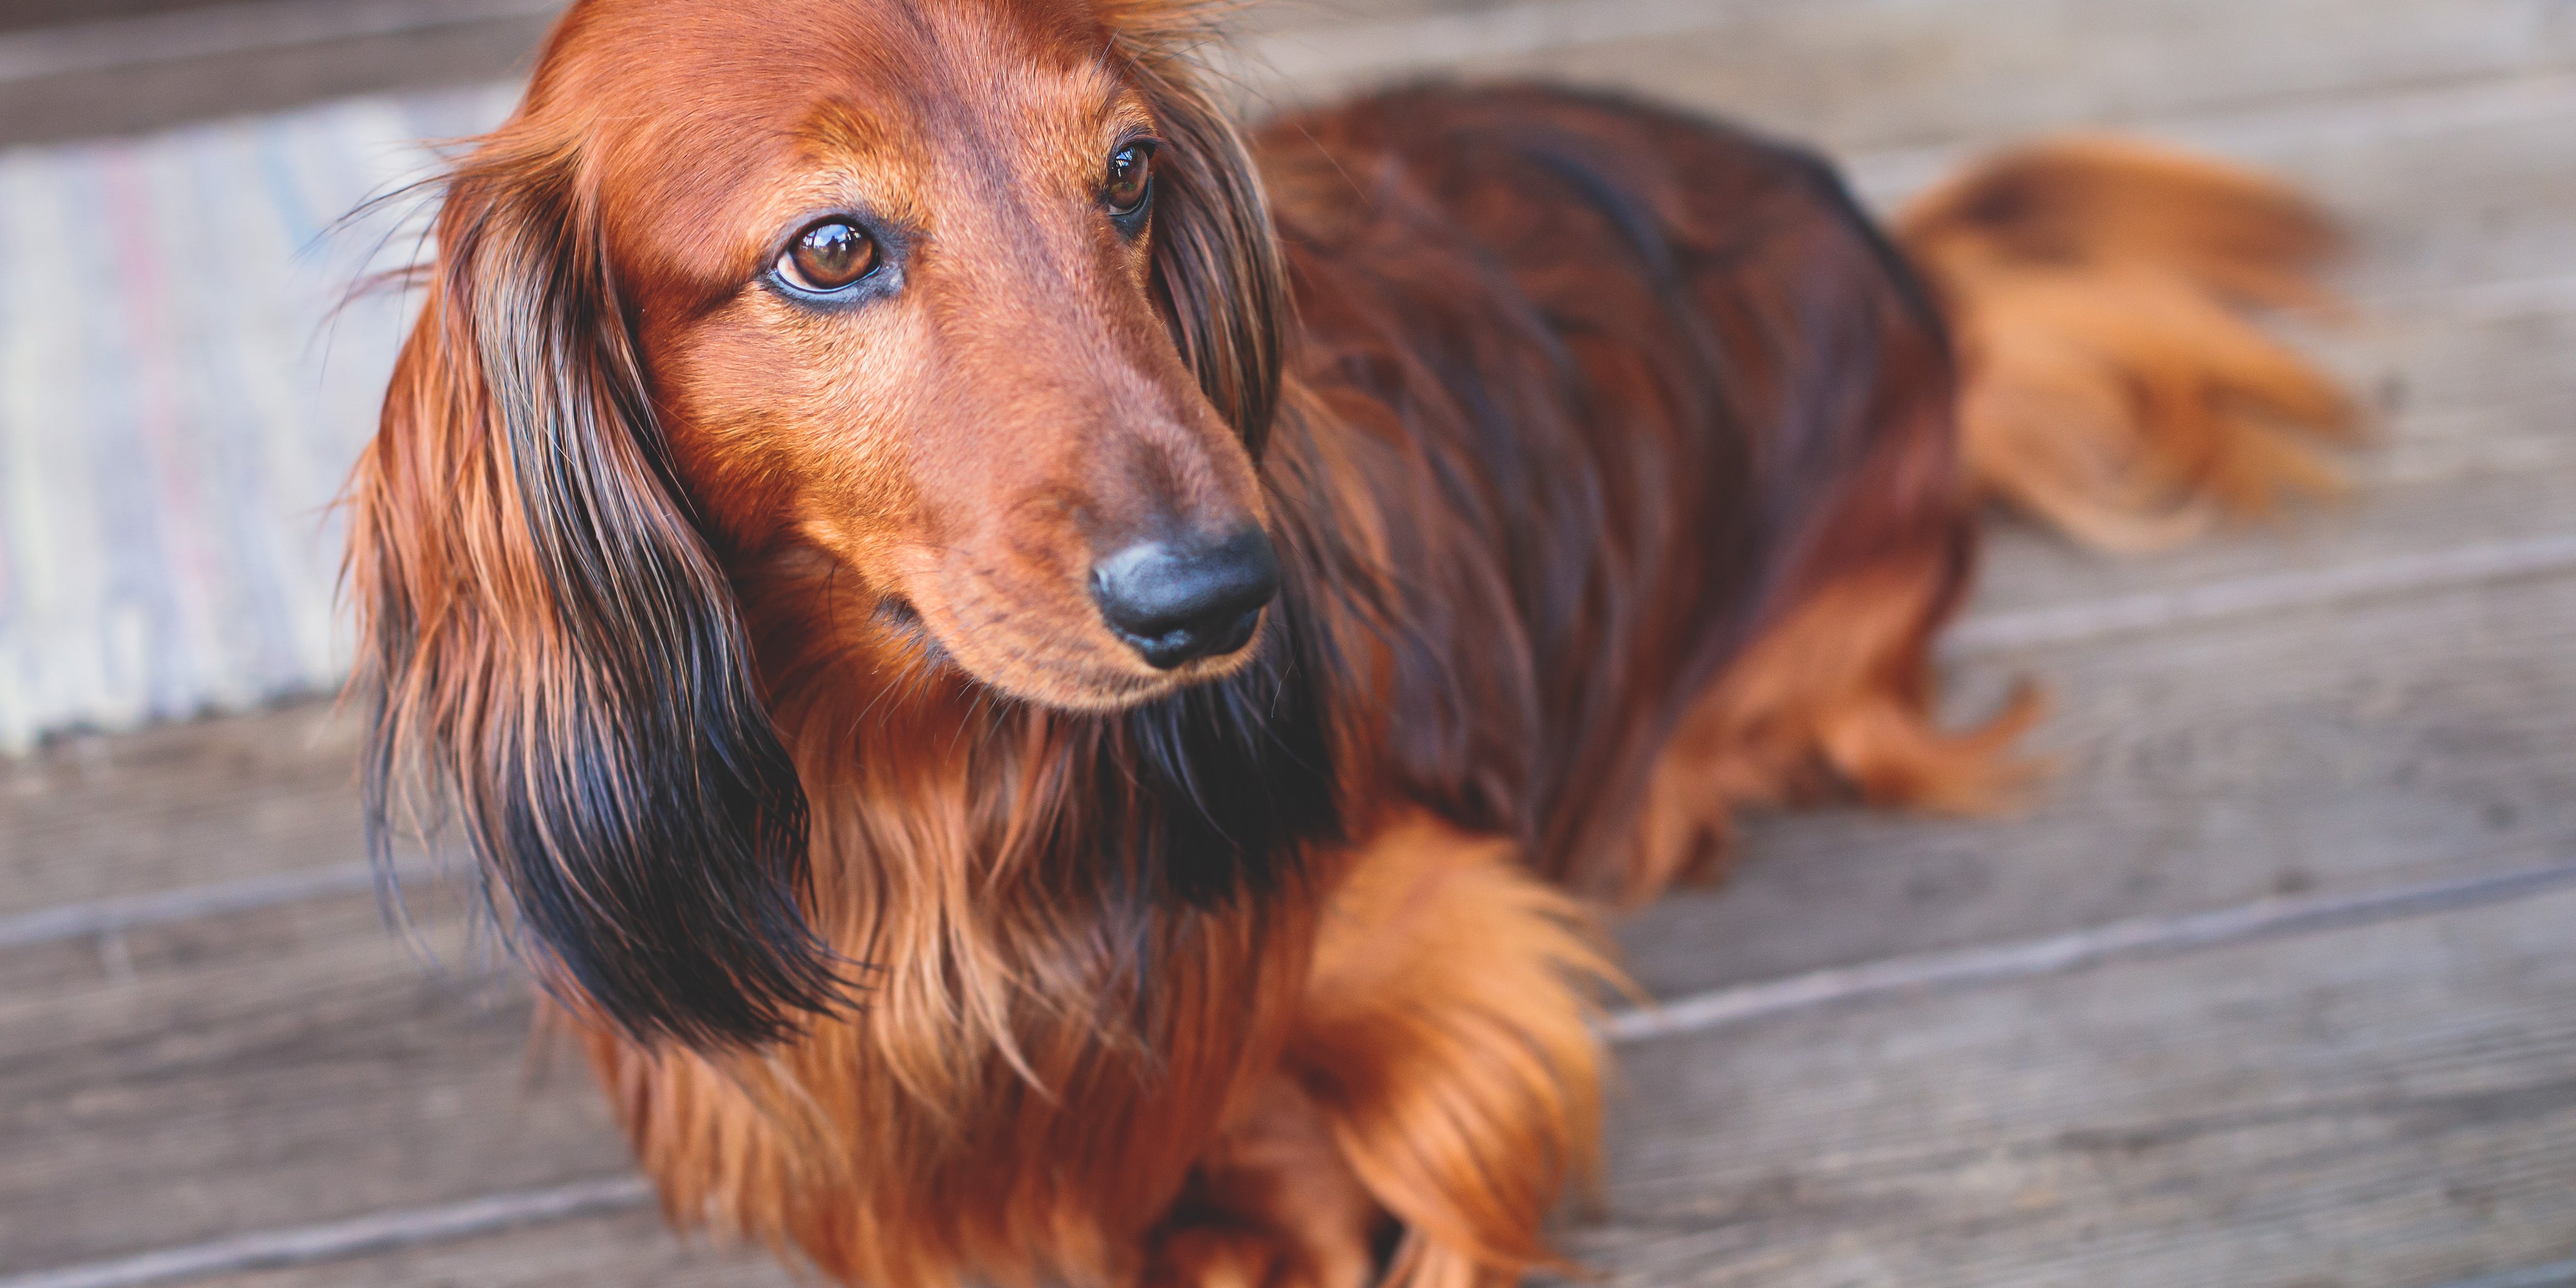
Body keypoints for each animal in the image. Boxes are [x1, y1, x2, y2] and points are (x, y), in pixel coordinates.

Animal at [342, 5, 2359, 1282]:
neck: (935, 818)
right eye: (829, 250)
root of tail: (1898, 261)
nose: (1222, 599)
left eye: (1128, 176)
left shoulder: (1456, 963)